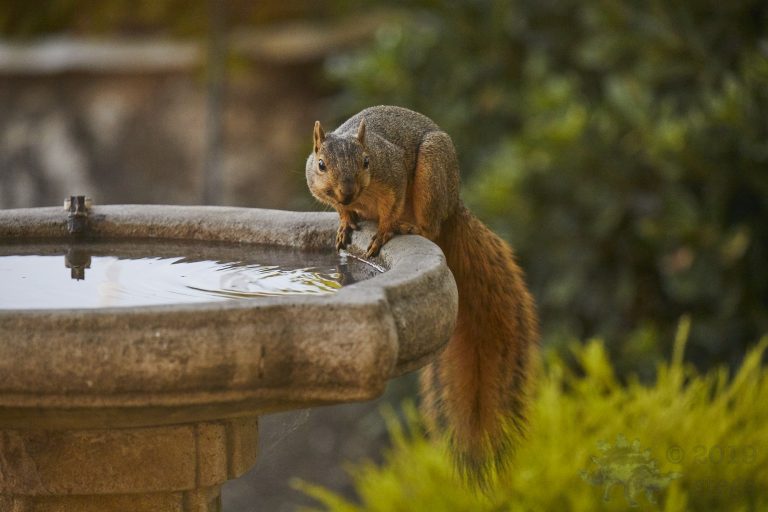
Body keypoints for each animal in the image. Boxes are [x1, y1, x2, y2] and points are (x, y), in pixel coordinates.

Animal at [306, 105, 539, 487]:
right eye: (321, 164)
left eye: (367, 161)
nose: (347, 192)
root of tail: (454, 204)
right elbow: (341, 212)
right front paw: (342, 222)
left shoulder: (394, 174)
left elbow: (390, 206)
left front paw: (383, 232)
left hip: (432, 173)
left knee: (428, 225)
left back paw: (407, 226)